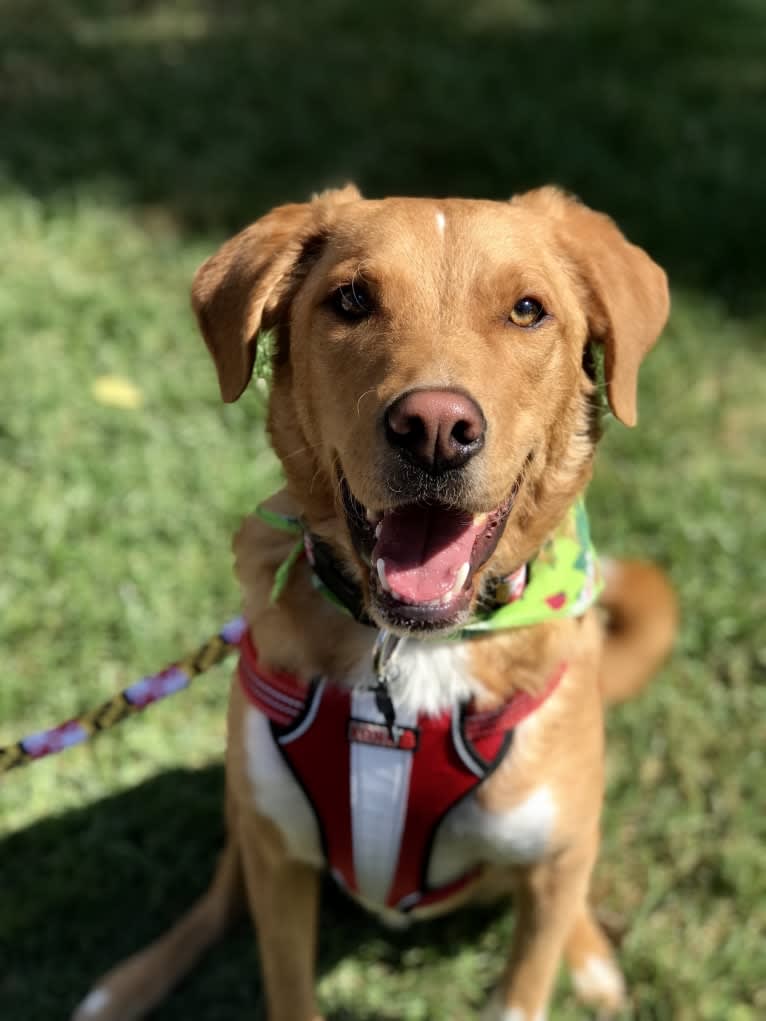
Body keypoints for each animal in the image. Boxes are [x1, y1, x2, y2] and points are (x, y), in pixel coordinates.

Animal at [75, 185, 678, 1021]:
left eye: (528, 309)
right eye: (352, 300)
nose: (434, 429)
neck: (413, 650)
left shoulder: (550, 861)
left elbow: (527, 977)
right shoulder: (279, 856)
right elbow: (286, 982)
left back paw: (589, 956)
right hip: (246, 812)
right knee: (220, 895)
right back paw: (128, 983)